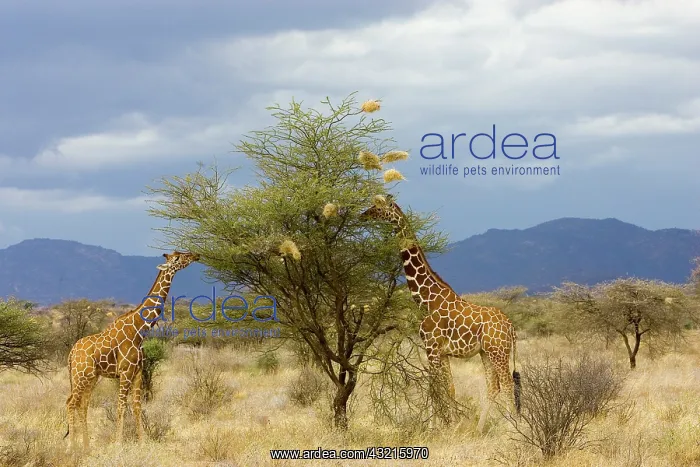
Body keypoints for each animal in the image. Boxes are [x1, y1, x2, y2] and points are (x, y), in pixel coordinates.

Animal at [64, 251, 199, 451]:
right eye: (177, 258)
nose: (195, 255)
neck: (139, 330)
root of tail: (72, 353)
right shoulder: (126, 372)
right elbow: (121, 406)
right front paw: (118, 443)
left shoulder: (137, 372)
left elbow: (136, 406)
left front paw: (142, 442)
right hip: (81, 375)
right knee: (71, 403)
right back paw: (71, 447)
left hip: (91, 377)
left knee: (82, 404)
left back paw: (87, 447)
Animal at [360, 195, 521, 433]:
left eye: (378, 207)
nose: (363, 215)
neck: (427, 300)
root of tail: (511, 327)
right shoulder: (442, 352)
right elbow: (449, 387)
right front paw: (451, 425)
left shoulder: (432, 348)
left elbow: (435, 388)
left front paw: (436, 427)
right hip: (486, 352)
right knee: (493, 387)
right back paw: (479, 429)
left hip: (498, 351)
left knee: (508, 384)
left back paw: (513, 428)